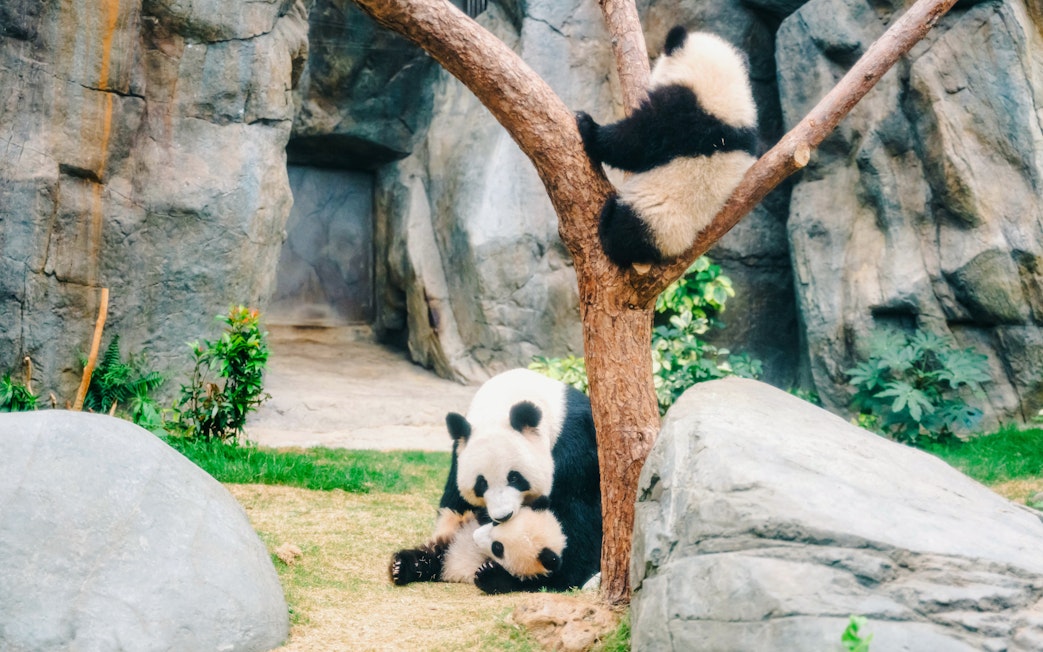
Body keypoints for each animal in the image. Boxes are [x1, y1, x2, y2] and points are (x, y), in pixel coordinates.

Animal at [390, 368, 601, 593]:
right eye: (481, 484)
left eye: (515, 477)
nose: (503, 515)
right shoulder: (459, 454)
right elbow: (454, 507)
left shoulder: (575, 448)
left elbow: (578, 519)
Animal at [575, 25, 759, 268]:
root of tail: (677, 247)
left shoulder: (678, 114)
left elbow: (633, 143)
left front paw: (588, 126)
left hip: (657, 216)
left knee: (627, 233)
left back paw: (608, 223)